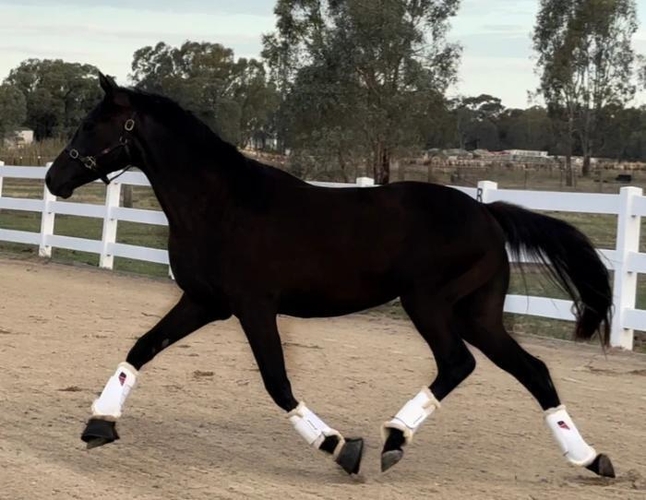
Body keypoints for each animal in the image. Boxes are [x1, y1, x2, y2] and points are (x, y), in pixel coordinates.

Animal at [45, 73, 615, 478]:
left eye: (92, 125)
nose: (54, 178)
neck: (221, 205)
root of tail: (487, 212)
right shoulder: (204, 301)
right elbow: (142, 347)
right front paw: (99, 423)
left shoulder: (253, 306)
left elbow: (277, 381)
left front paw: (341, 447)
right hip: (477, 313)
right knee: (532, 370)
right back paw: (590, 459)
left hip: (430, 304)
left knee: (459, 363)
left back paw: (393, 439)